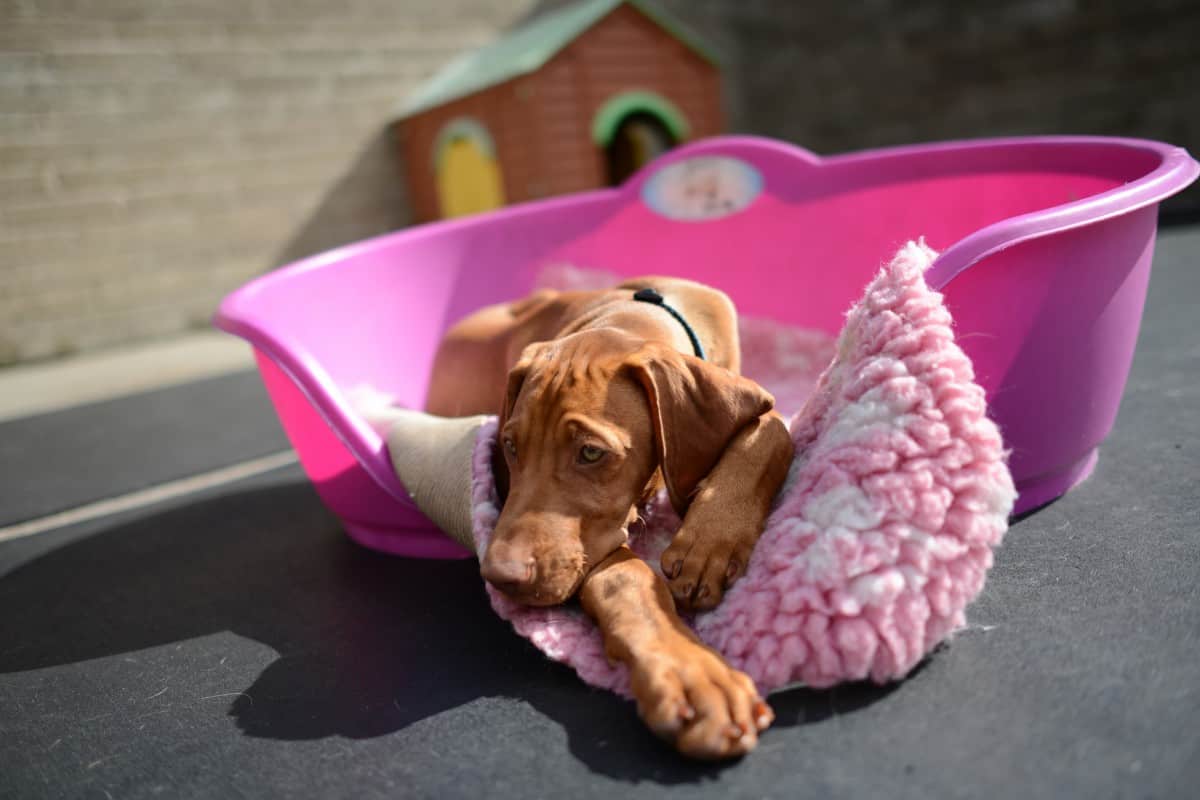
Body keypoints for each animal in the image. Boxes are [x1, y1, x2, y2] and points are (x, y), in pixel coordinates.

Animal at [427, 278, 792, 762]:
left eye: (590, 452)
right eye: (510, 445)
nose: (499, 576)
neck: (629, 314)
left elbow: (773, 427)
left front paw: (708, 544)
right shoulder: (587, 545)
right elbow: (627, 579)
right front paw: (694, 675)